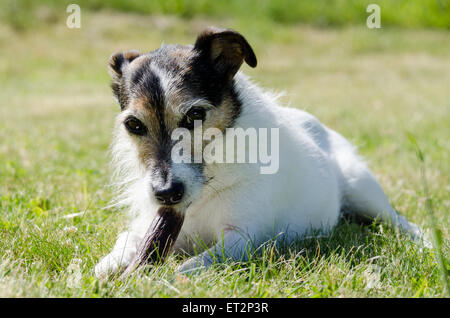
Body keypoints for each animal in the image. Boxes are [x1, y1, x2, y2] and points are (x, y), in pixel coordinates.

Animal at [94, 26, 426, 278]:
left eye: (195, 115)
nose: (166, 193)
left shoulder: (242, 238)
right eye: (134, 125)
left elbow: (189, 267)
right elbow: (123, 245)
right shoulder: (155, 226)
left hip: (362, 189)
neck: (211, 180)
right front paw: (102, 271)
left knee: (399, 220)